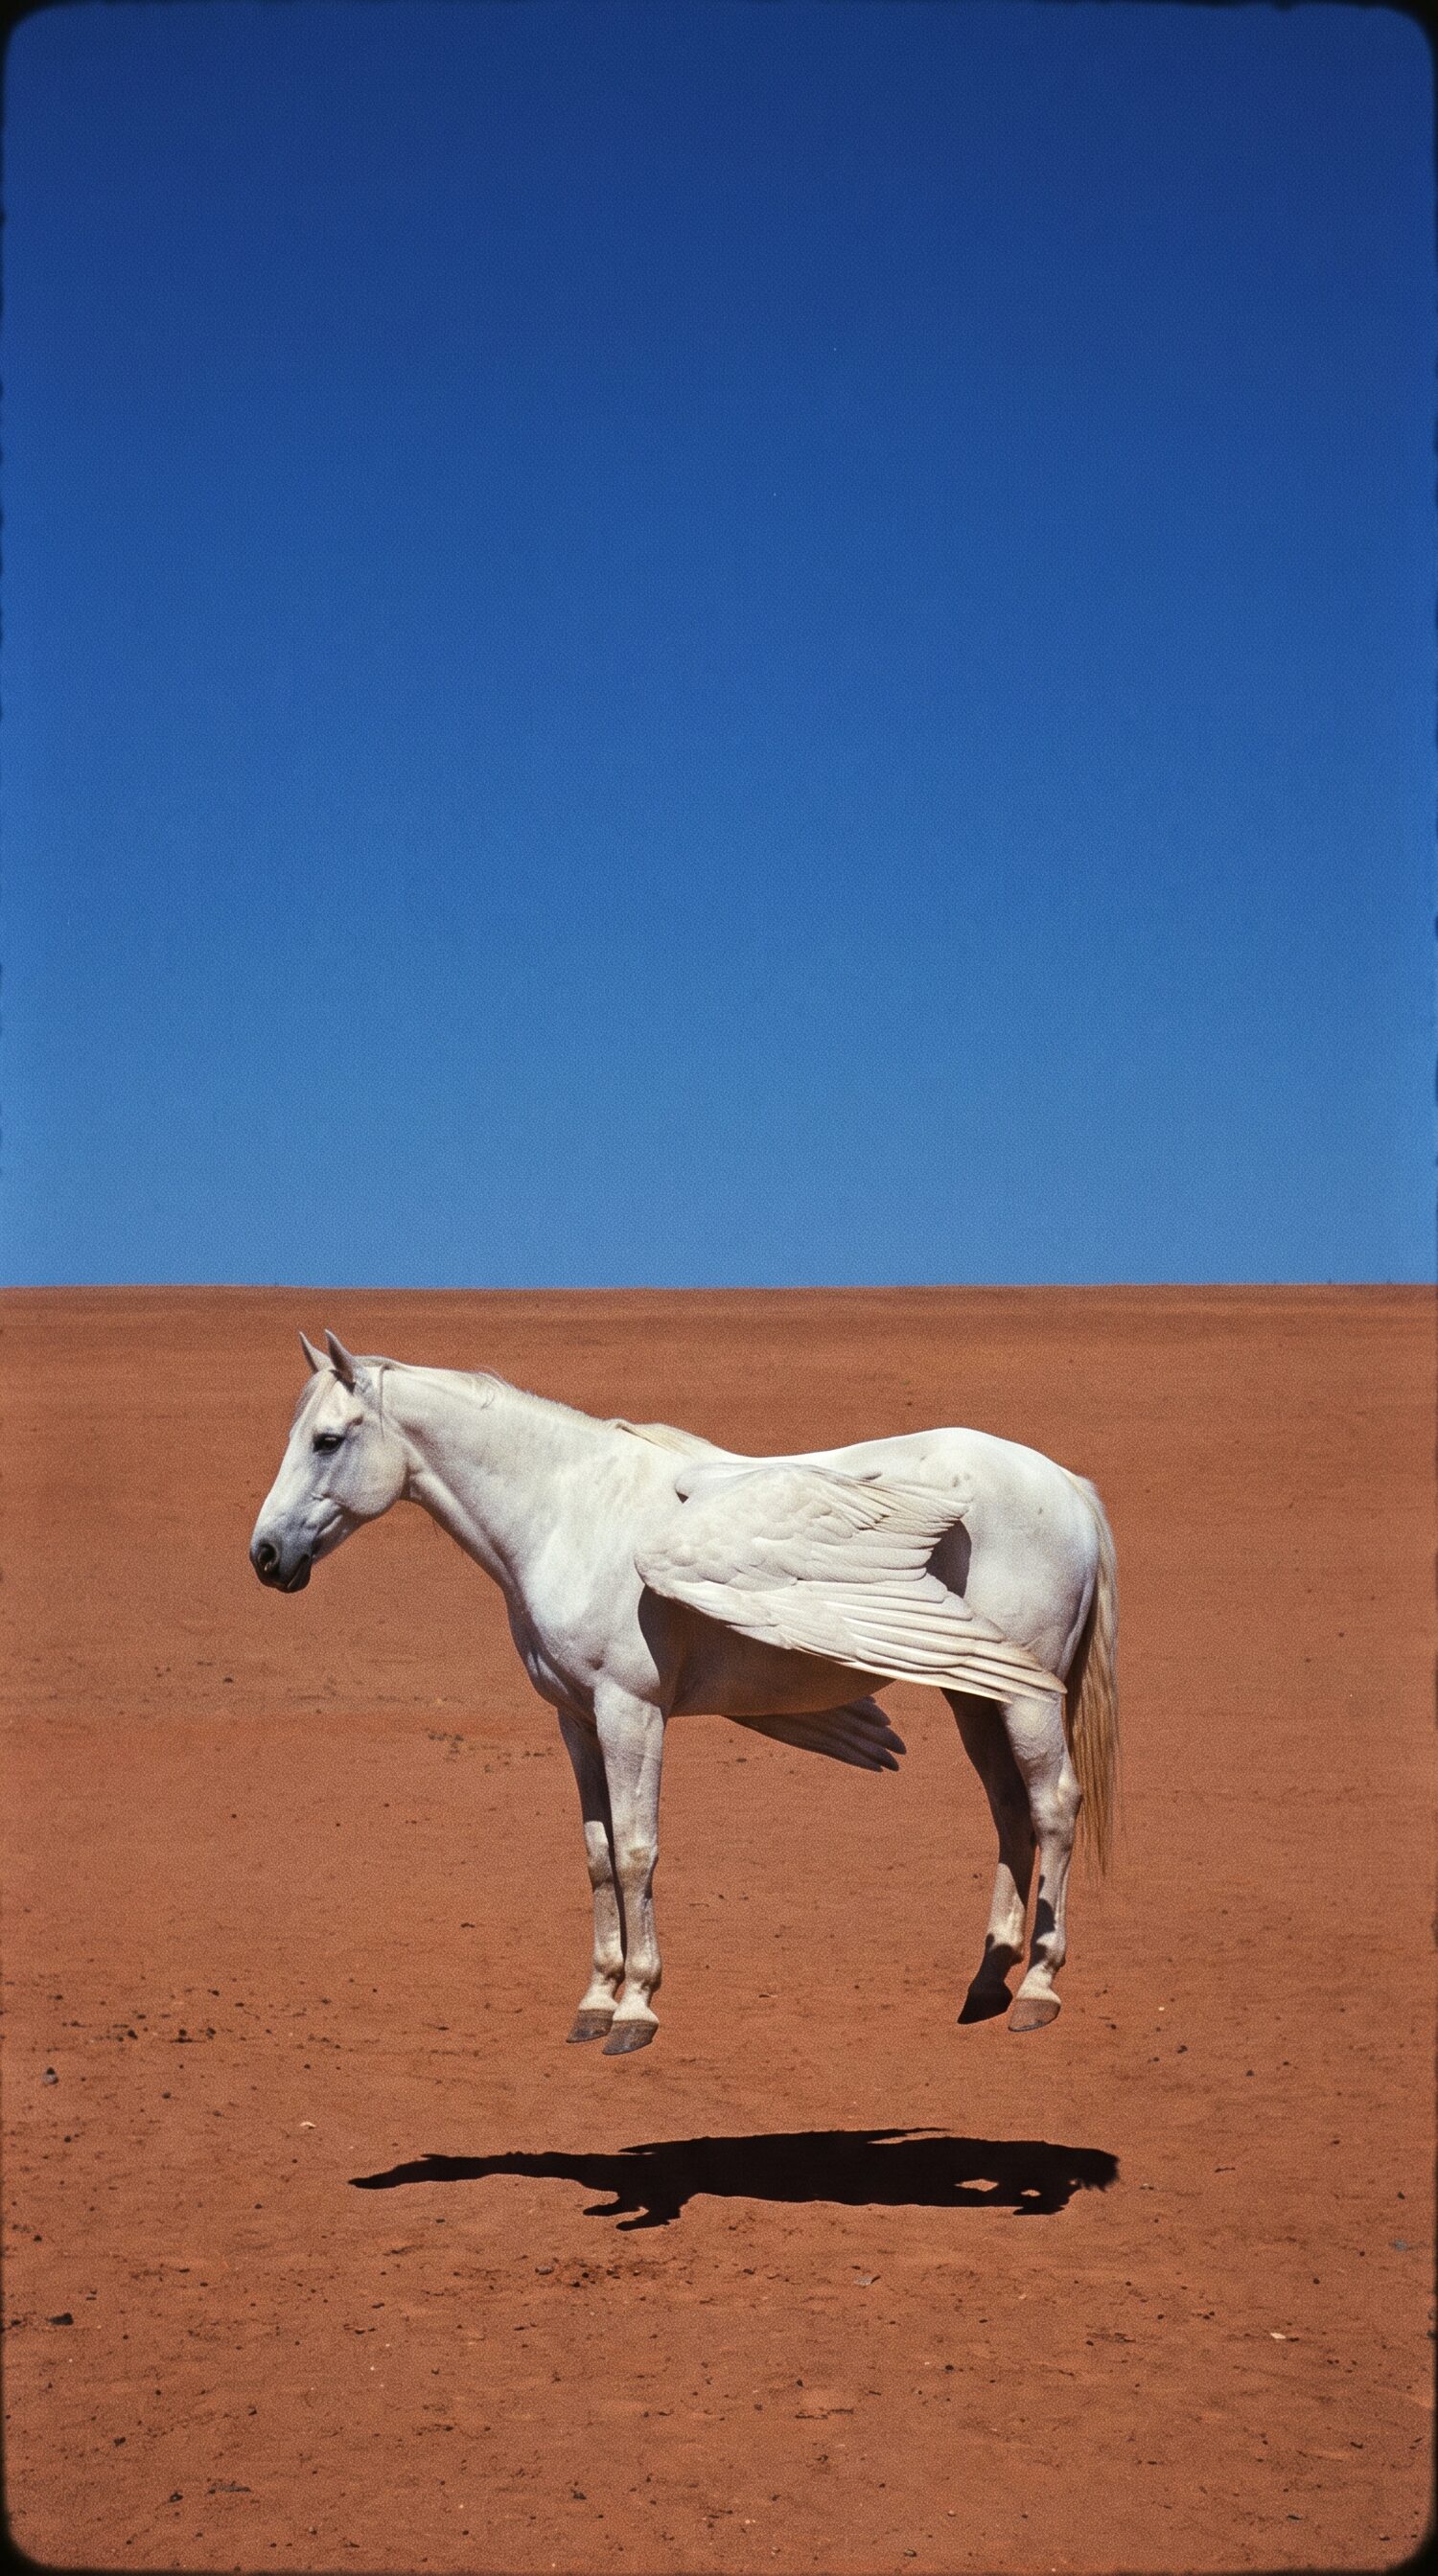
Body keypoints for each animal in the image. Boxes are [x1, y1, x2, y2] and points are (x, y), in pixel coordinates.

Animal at [250, 1331, 1118, 2055]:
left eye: (328, 1440)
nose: (265, 1556)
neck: (568, 1514)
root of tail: (1066, 1484)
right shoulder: (575, 1719)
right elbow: (598, 1854)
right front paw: (594, 2000)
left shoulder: (630, 1711)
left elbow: (638, 1849)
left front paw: (636, 2008)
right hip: (974, 1690)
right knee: (1008, 1811)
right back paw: (987, 1983)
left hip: (1027, 1697)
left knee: (1051, 1807)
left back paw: (1038, 1989)